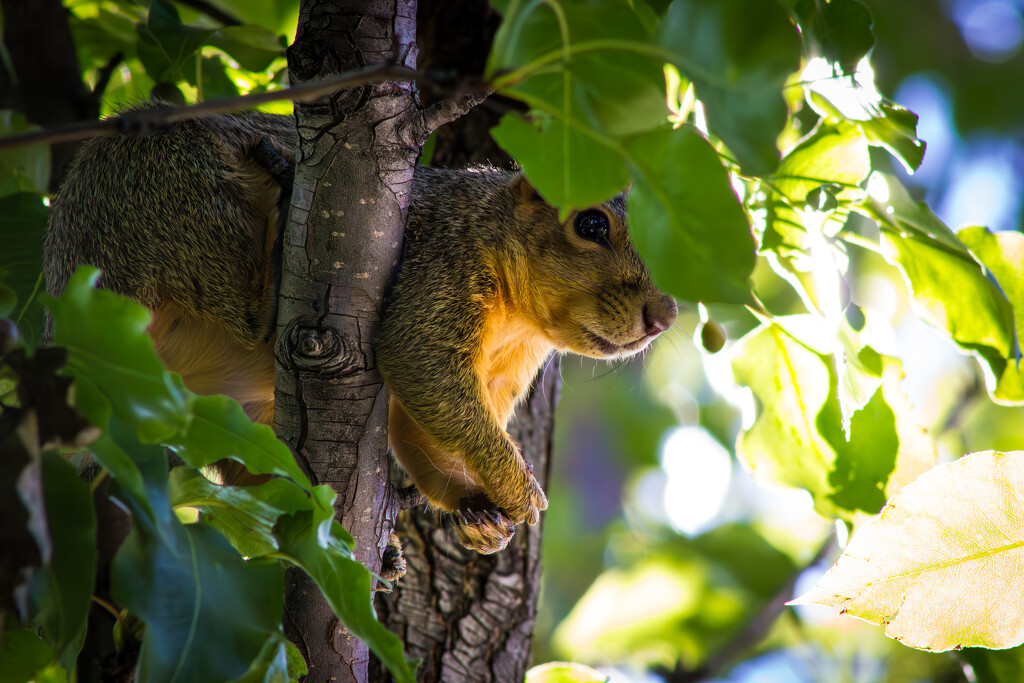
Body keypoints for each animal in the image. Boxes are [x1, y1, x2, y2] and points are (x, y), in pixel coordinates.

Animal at [46, 102, 679, 557]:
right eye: (591, 224)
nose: (665, 315)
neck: (519, 321)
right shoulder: (433, 272)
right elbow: (423, 372)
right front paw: (520, 489)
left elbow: (424, 428)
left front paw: (478, 513)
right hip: (185, 203)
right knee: (246, 311)